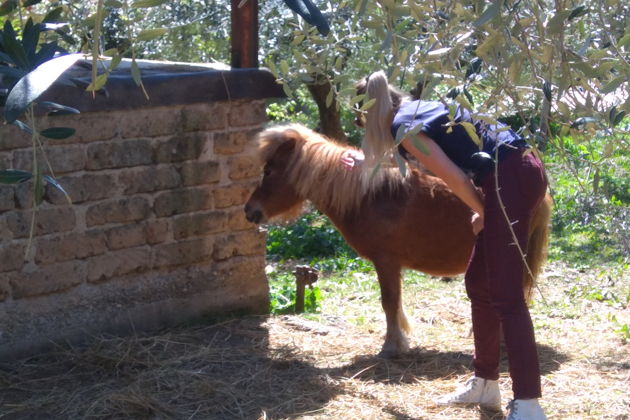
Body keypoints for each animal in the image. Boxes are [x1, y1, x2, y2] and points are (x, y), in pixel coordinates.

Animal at [244, 124, 552, 358]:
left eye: (269, 170)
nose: (249, 210)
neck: (370, 197)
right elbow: (394, 302)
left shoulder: (386, 262)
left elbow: (389, 302)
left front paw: (392, 345)